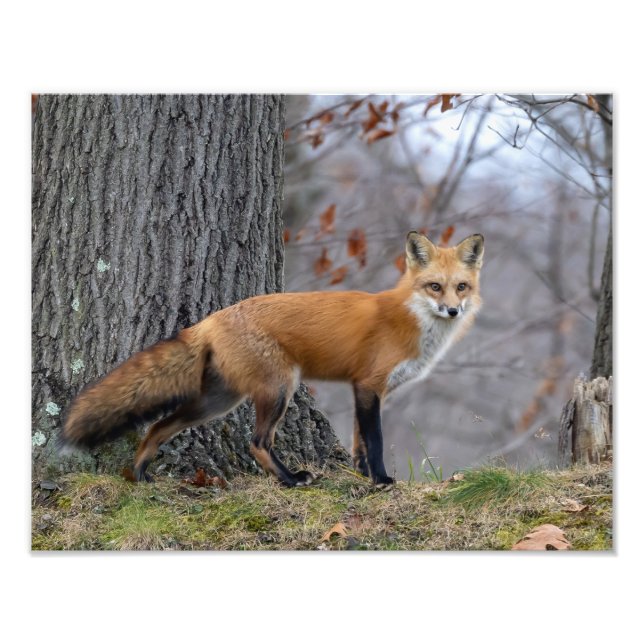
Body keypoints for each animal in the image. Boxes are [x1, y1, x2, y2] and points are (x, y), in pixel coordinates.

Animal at [61, 231, 484, 488]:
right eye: (434, 286)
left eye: (461, 287)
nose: (452, 310)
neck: (409, 319)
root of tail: (212, 317)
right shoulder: (369, 385)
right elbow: (375, 440)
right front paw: (380, 480)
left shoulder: (365, 389)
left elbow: (358, 443)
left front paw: (361, 475)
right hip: (279, 387)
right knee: (257, 442)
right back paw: (291, 479)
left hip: (218, 401)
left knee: (157, 427)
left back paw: (140, 473)